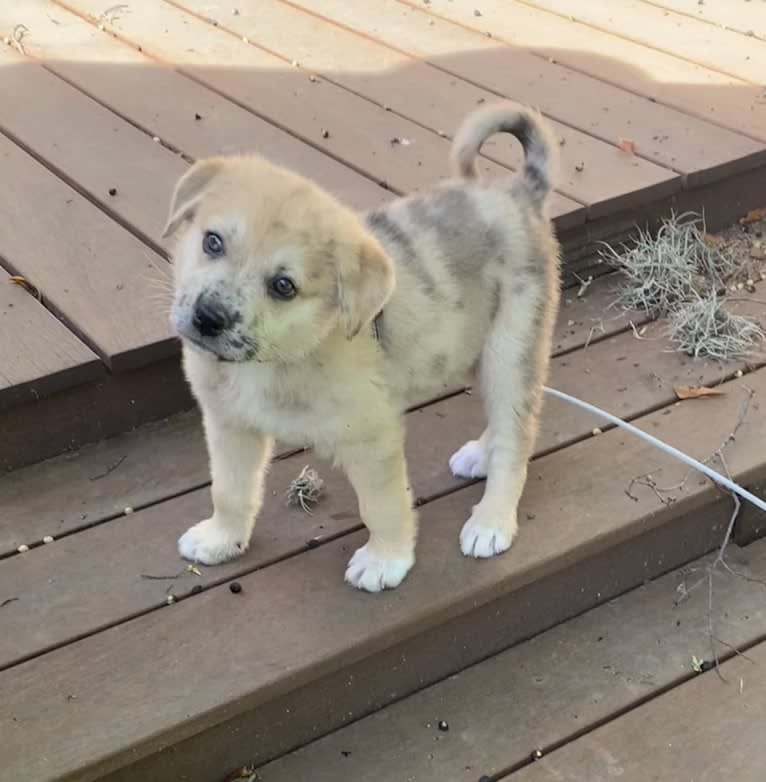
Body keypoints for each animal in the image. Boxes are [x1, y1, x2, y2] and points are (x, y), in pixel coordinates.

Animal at [165, 102, 560, 596]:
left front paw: (385, 561)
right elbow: (229, 490)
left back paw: (491, 521)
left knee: (517, 435)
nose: (208, 318)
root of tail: (520, 190)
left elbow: (383, 506)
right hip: (476, 352)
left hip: (511, 348)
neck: (278, 359)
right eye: (212, 241)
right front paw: (221, 540)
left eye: (283, 286)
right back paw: (479, 454)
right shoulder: (229, 424)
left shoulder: (373, 438)